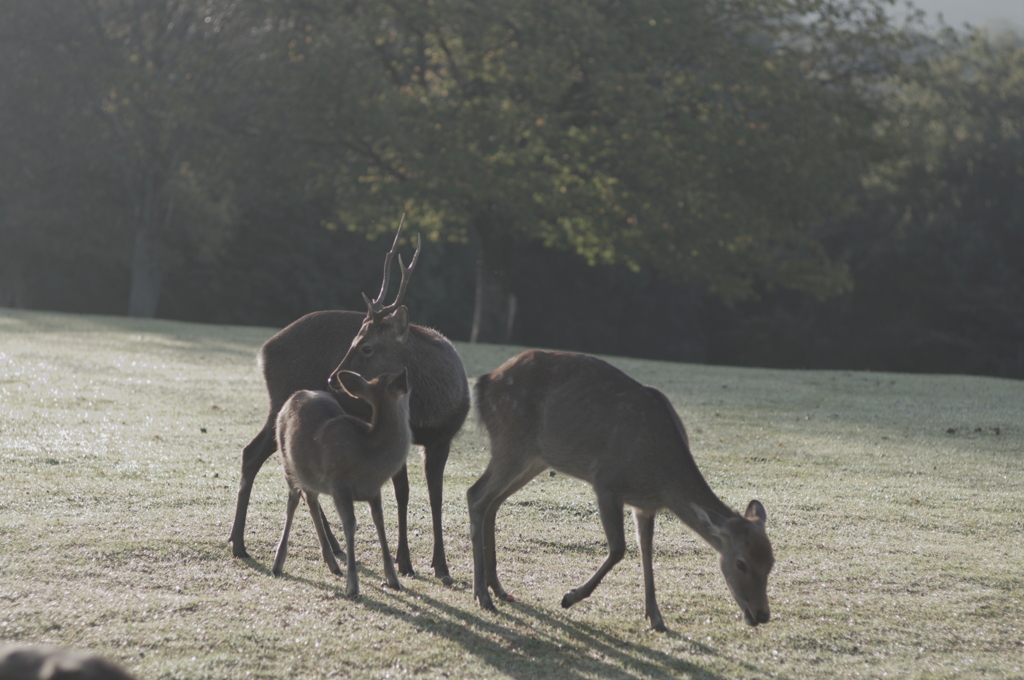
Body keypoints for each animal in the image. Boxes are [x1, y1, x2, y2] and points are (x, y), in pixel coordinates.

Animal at [274, 368, 413, 598]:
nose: (409, 375)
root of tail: (293, 396)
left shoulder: (374, 490)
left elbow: (380, 521)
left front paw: (393, 580)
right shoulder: (338, 483)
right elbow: (350, 524)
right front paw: (352, 587)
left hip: (309, 477)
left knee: (310, 499)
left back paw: (333, 564)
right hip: (287, 463)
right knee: (293, 501)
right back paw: (277, 563)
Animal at [471, 350, 774, 630]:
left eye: (771, 562)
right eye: (741, 563)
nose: (762, 615)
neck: (660, 478)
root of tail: (484, 382)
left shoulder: (645, 505)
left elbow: (646, 551)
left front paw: (656, 618)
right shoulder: (606, 483)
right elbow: (619, 548)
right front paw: (569, 597)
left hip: (535, 458)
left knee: (493, 503)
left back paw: (498, 588)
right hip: (511, 442)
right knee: (476, 495)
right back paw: (482, 595)